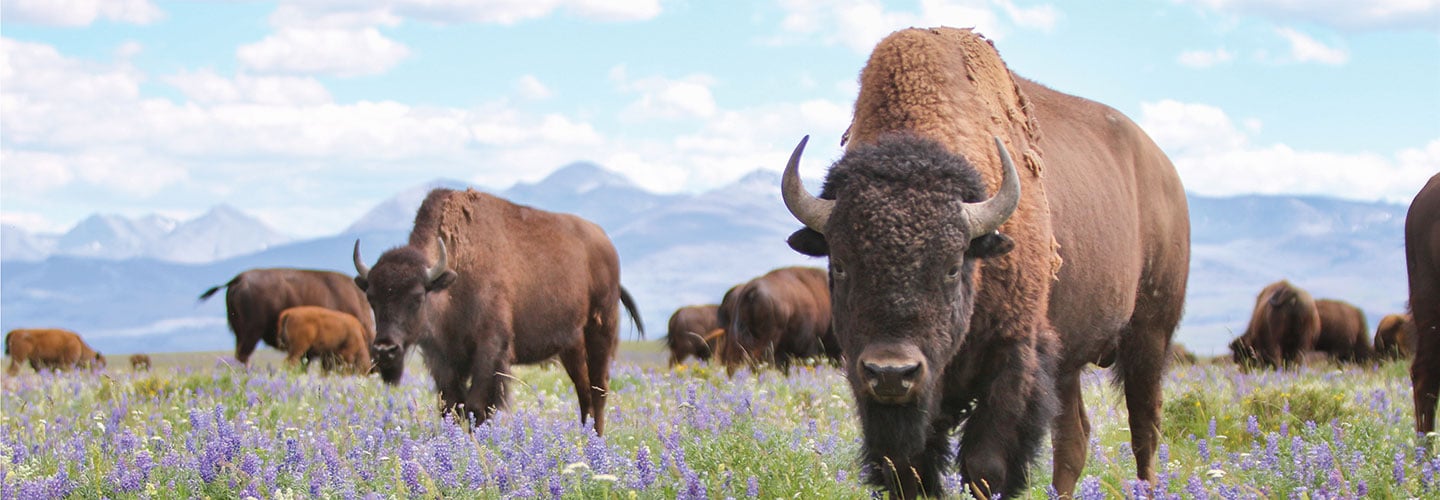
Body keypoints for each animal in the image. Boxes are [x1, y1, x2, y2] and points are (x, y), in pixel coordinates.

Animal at [351, 187, 645, 435]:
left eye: (417, 297)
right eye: (371, 298)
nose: (385, 350)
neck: (453, 279)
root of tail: (605, 243)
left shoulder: (490, 349)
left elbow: (476, 406)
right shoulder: (442, 357)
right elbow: (451, 406)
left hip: (601, 328)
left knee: (599, 388)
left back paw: (597, 438)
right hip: (570, 345)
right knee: (583, 390)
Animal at [783, 26, 1186, 498]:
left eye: (952, 266)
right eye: (841, 265)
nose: (892, 372)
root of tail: (1165, 171)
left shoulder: (1013, 355)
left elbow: (985, 465)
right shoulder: (869, 374)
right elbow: (906, 467)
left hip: (1149, 335)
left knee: (1144, 428)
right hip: (1069, 359)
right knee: (1074, 438)